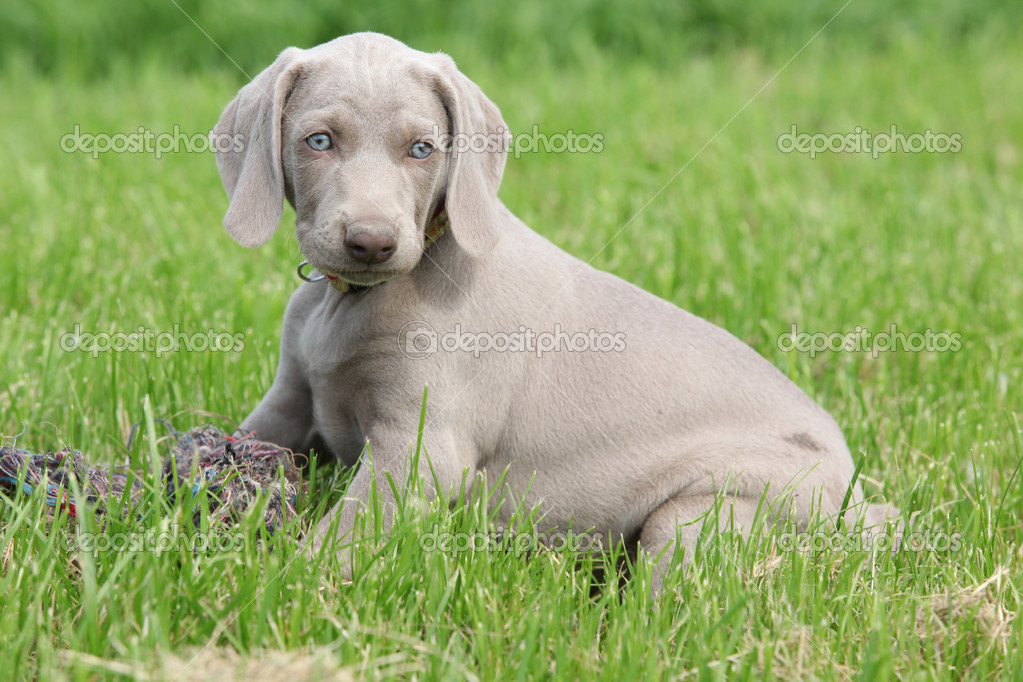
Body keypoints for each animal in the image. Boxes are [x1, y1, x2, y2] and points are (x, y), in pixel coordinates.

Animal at [213, 31, 887, 588]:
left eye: (422, 149)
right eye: (318, 141)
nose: (372, 242)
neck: (350, 300)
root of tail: (858, 504)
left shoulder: (422, 450)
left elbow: (345, 534)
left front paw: (281, 589)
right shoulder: (289, 399)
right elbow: (244, 433)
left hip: (707, 511)